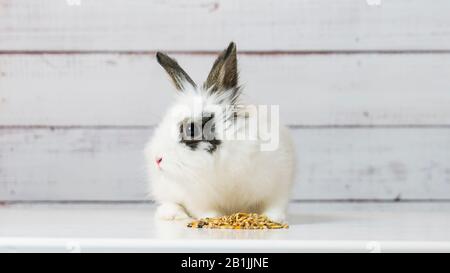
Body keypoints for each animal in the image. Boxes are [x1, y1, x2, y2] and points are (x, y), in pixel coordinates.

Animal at [146, 42, 298, 221]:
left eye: (191, 129)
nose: (157, 159)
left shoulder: (279, 183)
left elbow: (274, 205)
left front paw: (273, 218)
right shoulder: (196, 197)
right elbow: (205, 210)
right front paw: (213, 219)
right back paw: (173, 214)